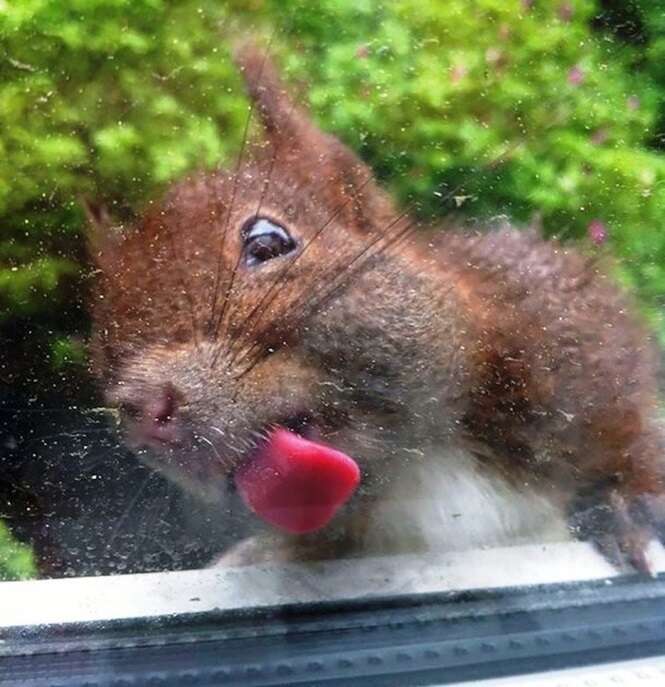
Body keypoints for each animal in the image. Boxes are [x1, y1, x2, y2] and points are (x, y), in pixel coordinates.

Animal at [85, 44, 664, 576]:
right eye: (101, 356)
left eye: (268, 242)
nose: (142, 409)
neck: (416, 464)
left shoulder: (571, 339)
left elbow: (632, 426)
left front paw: (632, 505)